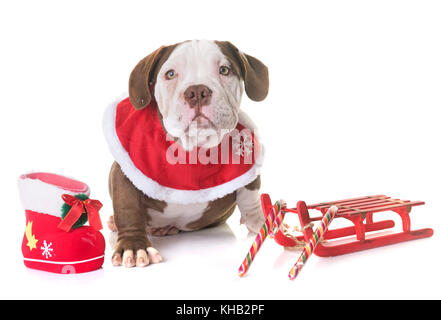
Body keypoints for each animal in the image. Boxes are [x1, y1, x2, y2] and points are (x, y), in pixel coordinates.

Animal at [103, 40, 268, 268]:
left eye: (224, 70)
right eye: (170, 74)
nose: (197, 91)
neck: (196, 147)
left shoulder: (248, 161)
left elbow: (250, 193)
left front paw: (260, 222)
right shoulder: (125, 169)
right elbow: (127, 208)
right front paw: (134, 246)